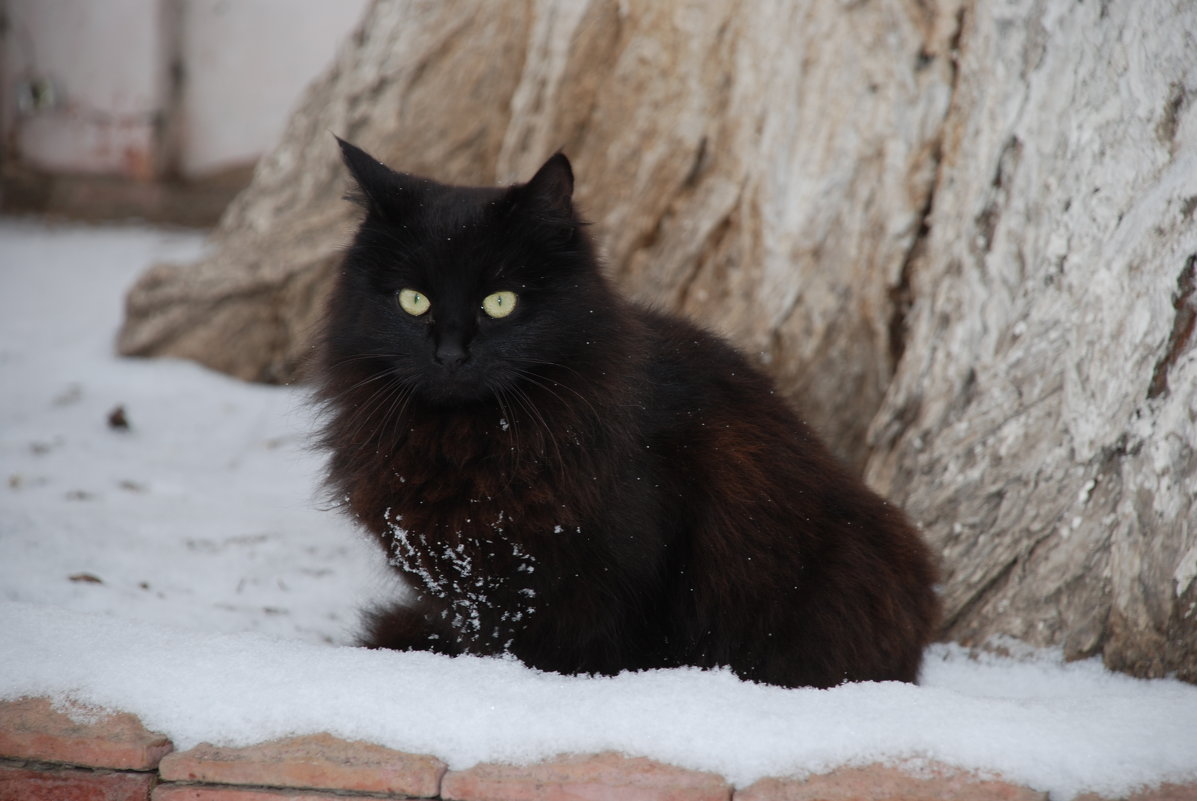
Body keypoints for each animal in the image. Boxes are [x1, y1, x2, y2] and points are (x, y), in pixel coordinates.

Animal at [320, 138, 943, 689]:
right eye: (413, 300)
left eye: (500, 302)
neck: (468, 448)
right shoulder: (470, 593)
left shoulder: (603, 583)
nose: (450, 355)